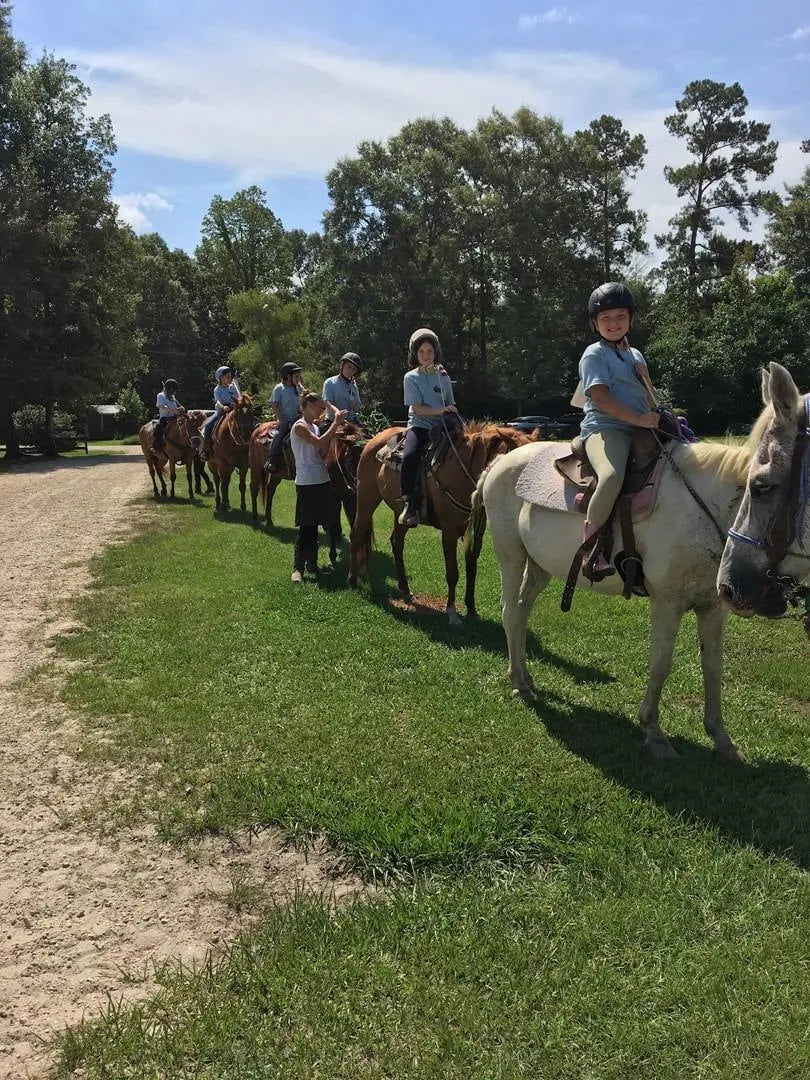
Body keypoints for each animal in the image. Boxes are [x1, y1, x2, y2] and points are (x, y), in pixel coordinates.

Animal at [347, 421, 533, 626]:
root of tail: (373, 441)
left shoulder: (478, 529)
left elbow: (471, 567)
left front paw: (471, 609)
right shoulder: (449, 531)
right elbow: (452, 572)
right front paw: (452, 613)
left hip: (399, 513)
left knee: (396, 543)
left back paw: (405, 590)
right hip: (366, 498)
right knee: (357, 534)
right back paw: (352, 581)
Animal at [475, 378, 799, 760]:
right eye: (762, 488)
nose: (775, 598)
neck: (704, 505)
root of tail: (500, 462)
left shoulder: (713, 607)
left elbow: (713, 668)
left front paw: (721, 738)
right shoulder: (667, 603)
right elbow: (661, 663)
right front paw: (654, 733)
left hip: (538, 566)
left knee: (523, 613)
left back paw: (525, 677)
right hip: (510, 555)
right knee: (510, 613)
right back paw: (518, 684)